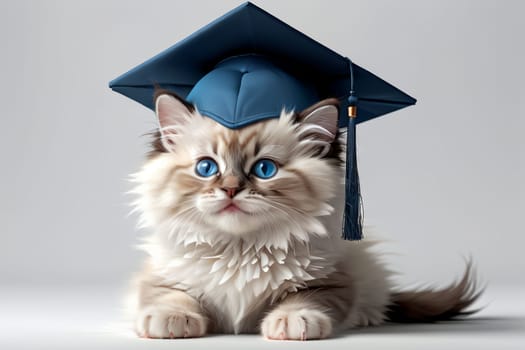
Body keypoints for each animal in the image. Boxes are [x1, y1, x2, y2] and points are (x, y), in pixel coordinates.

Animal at [126, 91, 478, 340]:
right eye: (206, 168)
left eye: (264, 169)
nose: (230, 190)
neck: (240, 249)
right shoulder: (162, 276)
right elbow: (170, 296)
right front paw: (170, 320)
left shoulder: (330, 282)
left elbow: (304, 300)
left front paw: (293, 321)